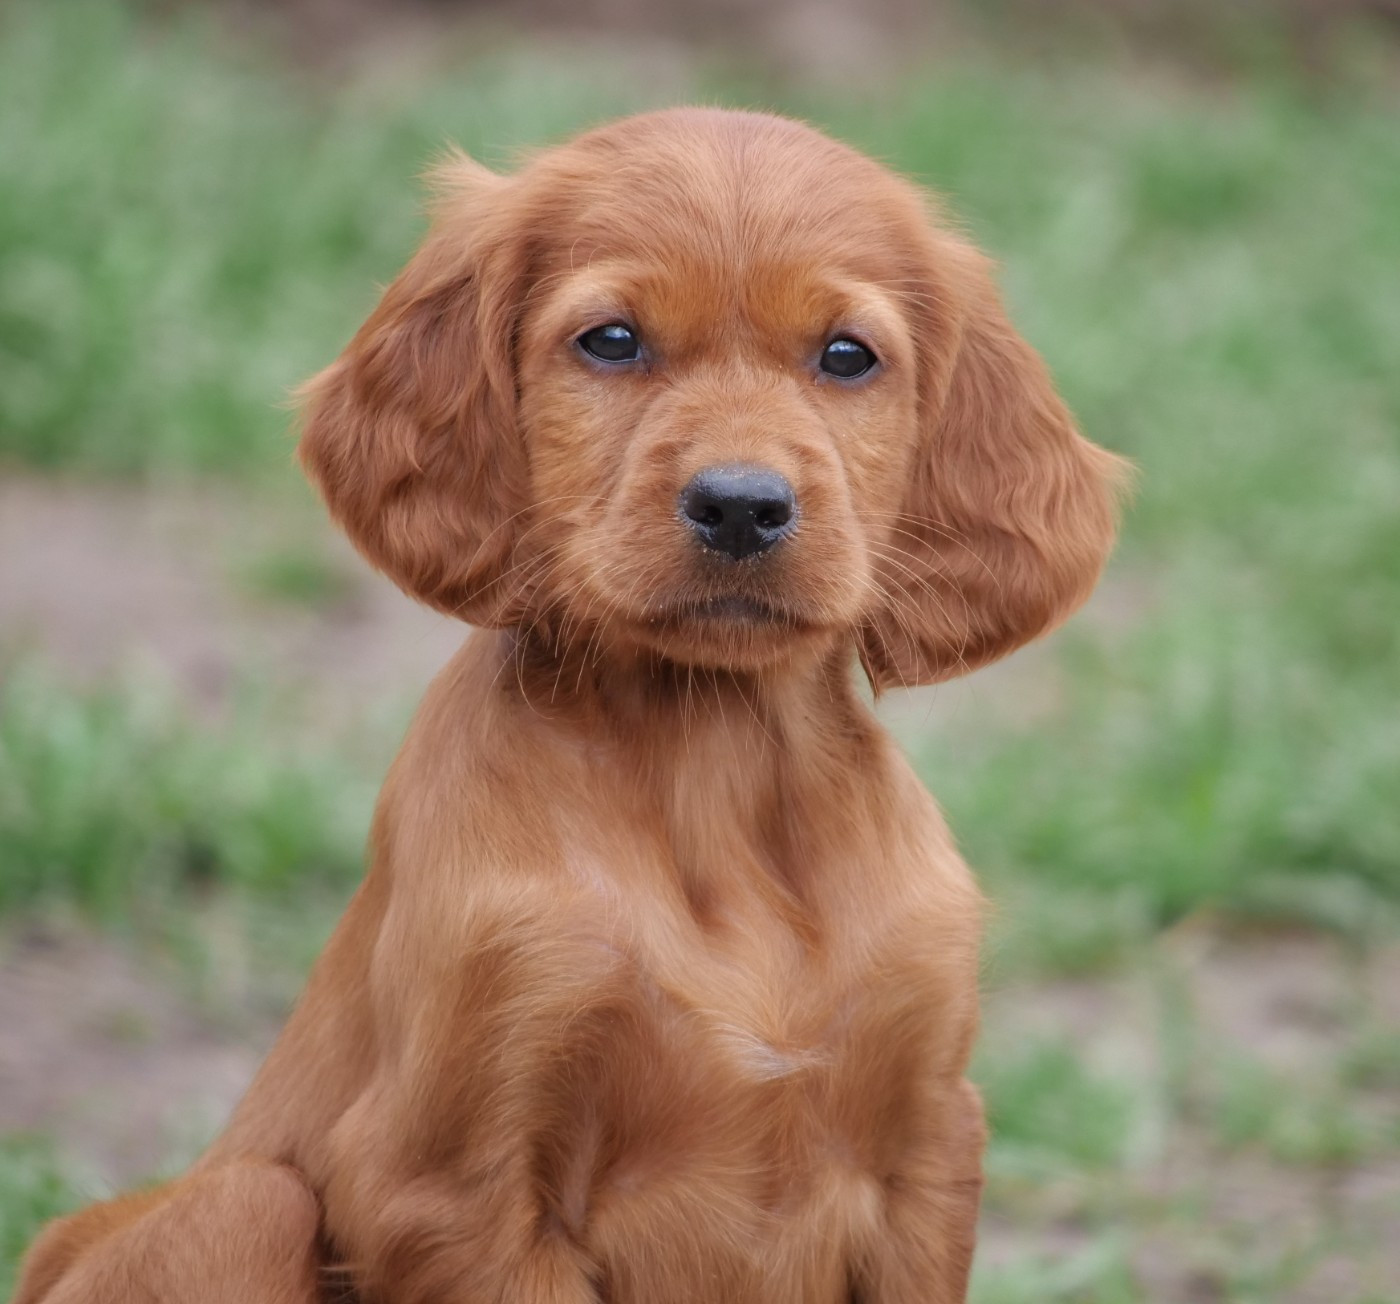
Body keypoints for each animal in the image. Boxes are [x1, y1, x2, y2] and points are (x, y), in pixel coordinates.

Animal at [15, 106, 1122, 1304]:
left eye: (844, 356)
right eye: (612, 340)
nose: (741, 505)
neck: (712, 758)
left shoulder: (926, 1141)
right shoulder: (453, 1183)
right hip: (241, 1207)